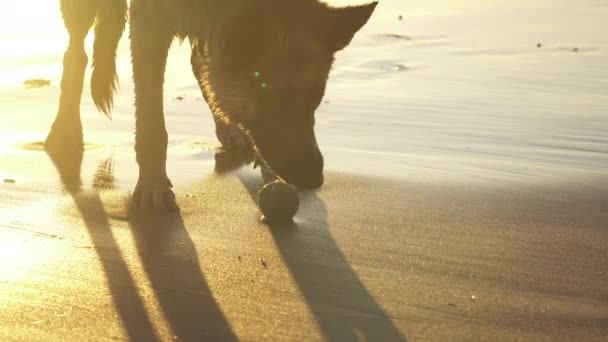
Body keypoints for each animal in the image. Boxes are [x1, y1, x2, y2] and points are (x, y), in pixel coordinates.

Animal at [45, 0, 376, 211]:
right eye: (268, 92)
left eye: (316, 95)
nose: (314, 179)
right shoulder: (150, 23)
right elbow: (152, 124)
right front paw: (153, 184)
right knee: (75, 52)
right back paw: (66, 130)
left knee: (198, 62)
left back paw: (228, 128)